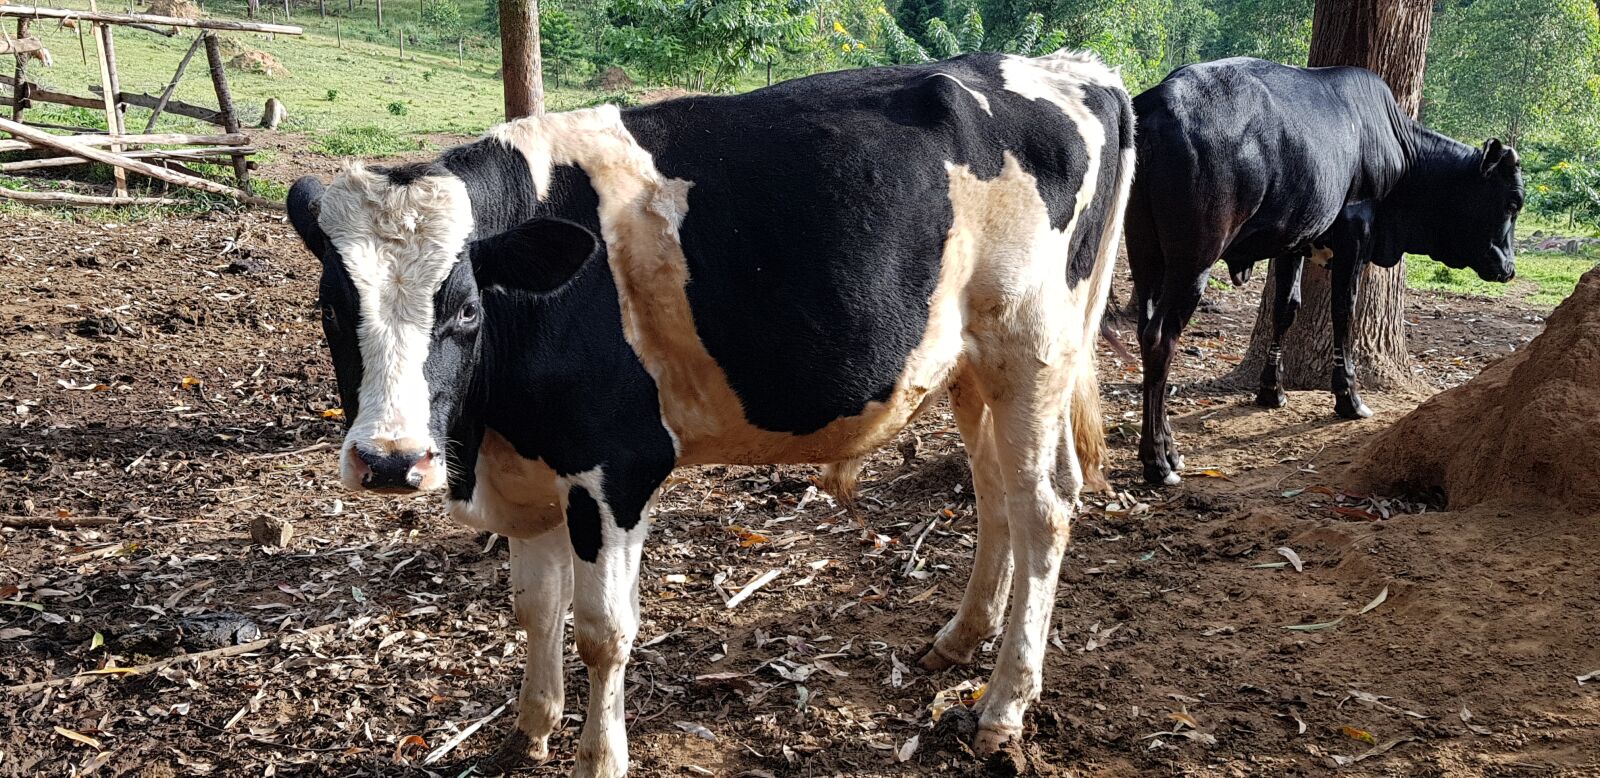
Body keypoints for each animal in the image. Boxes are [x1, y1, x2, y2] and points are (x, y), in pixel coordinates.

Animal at [285, 51, 1135, 775]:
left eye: (464, 310)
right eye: (331, 307)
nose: (391, 460)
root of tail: (1073, 66)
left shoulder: (615, 470)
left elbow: (602, 633)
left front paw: (599, 758)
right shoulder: (532, 467)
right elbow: (534, 608)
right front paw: (529, 731)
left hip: (1032, 353)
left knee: (1044, 513)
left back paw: (1004, 707)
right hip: (973, 371)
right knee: (997, 496)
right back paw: (961, 640)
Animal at [1126, 57, 1523, 486]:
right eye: (1513, 202)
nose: (1508, 267)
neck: (1399, 151)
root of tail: (1158, 104)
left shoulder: (1292, 242)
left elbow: (1285, 309)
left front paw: (1272, 390)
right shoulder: (1355, 235)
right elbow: (1343, 311)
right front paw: (1349, 397)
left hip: (1144, 253)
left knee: (1145, 328)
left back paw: (1167, 446)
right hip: (1193, 261)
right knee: (1161, 338)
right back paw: (1159, 459)